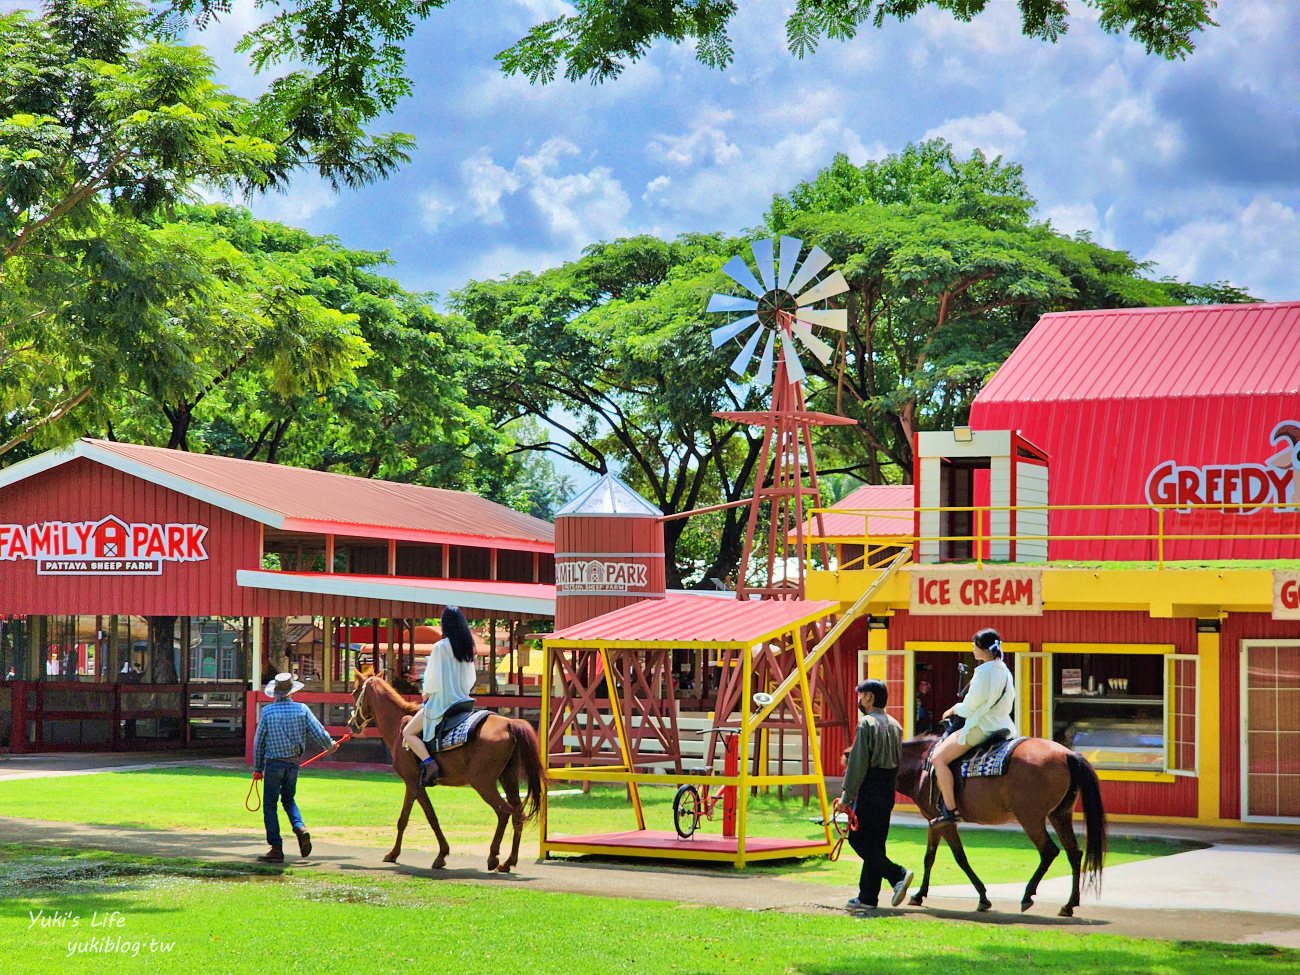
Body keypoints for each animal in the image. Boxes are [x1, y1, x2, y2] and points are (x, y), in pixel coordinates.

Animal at [348, 676, 546, 873]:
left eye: (354, 693)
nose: (351, 724)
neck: (398, 726)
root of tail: (509, 724)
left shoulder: (412, 782)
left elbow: (412, 818)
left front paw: (396, 854)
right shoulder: (416, 784)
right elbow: (426, 816)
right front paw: (439, 854)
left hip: (483, 783)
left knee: (504, 811)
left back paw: (493, 857)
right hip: (508, 779)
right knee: (518, 815)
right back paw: (509, 862)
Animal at [894, 738, 1107, 920]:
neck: (921, 768)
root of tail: (1067, 754)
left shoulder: (945, 822)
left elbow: (960, 857)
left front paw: (983, 898)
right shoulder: (934, 821)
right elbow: (929, 857)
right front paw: (919, 894)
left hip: (1030, 818)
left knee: (1049, 851)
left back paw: (1027, 896)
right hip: (1060, 815)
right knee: (1074, 853)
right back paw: (1069, 904)